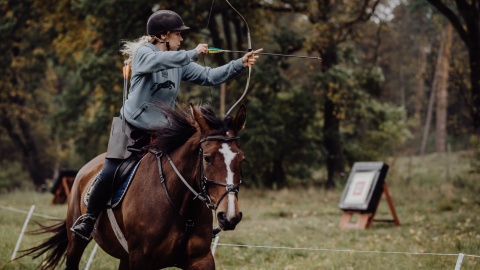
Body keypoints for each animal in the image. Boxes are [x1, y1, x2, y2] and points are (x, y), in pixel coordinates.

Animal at [21, 104, 248, 268]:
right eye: (207, 158)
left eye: (241, 160)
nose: (229, 216)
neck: (181, 209)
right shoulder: (141, 260)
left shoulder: (201, 259)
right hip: (76, 241)